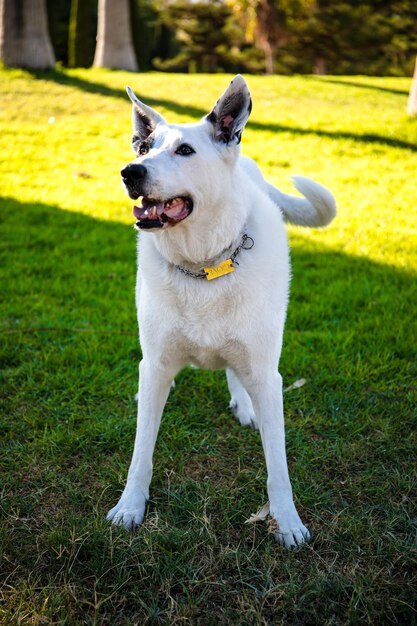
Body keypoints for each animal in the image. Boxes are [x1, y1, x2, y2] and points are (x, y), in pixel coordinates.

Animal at [107, 74, 334, 544]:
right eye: (144, 147)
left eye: (185, 151)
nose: (130, 171)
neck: (203, 265)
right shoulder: (156, 362)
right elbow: (141, 450)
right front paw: (130, 506)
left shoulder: (267, 373)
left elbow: (278, 465)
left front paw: (287, 521)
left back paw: (244, 404)